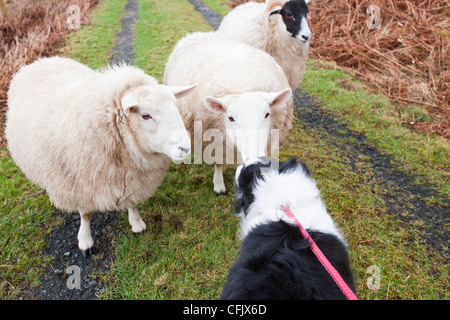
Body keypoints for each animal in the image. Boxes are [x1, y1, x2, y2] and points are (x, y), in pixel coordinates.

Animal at [5, 55, 195, 255]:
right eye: (145, 115)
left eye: (175, 107)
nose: (185, 147)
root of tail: (44, 59)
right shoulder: (80, 184)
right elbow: (86, 214)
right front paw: (85, 240)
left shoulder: (131, 177)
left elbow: (131, 200)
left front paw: (136, 223)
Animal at [163, 31, 294, 195]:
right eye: (231, 118)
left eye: (267, 114)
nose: (256, 160)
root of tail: (197, 33)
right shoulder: (215, 142)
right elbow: (218, 163)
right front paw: (219, 185)